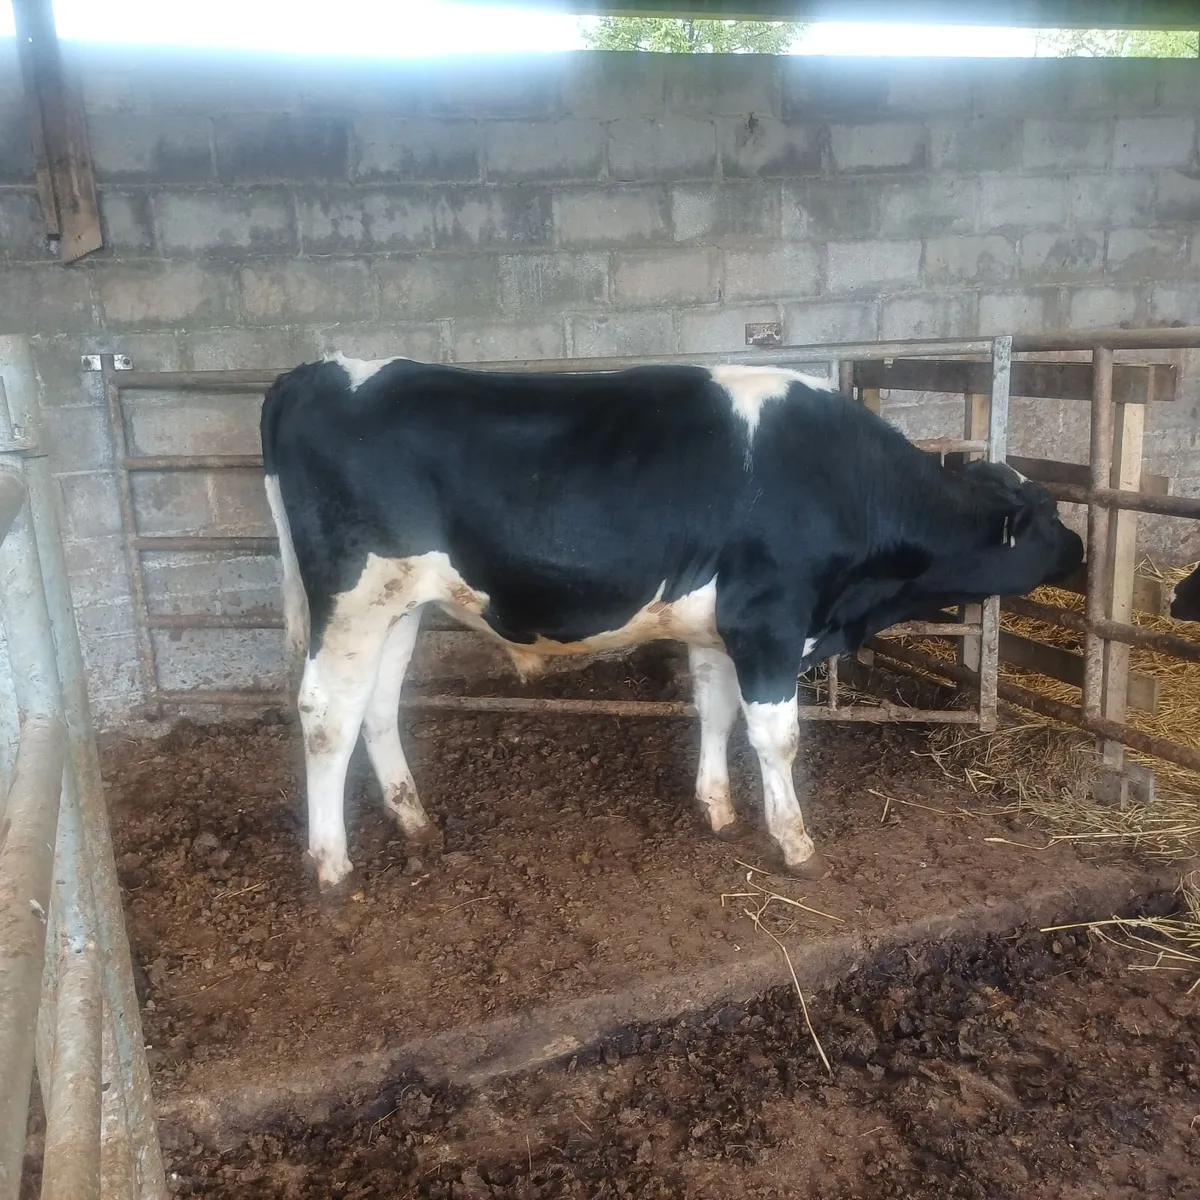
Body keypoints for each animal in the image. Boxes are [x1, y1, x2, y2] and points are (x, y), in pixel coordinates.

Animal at [261, 354, 1084, 891]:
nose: (1080, 550)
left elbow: (715, 712)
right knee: (325, 714)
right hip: (354, 599)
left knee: (376, 708)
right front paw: (795, 842)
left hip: (398, 606)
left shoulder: (720, 629)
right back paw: (331, 866)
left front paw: (715, 810)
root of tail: (319, 369)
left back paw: (415, 824)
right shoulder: (769, 621)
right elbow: (777, 738)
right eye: (1046, 516)